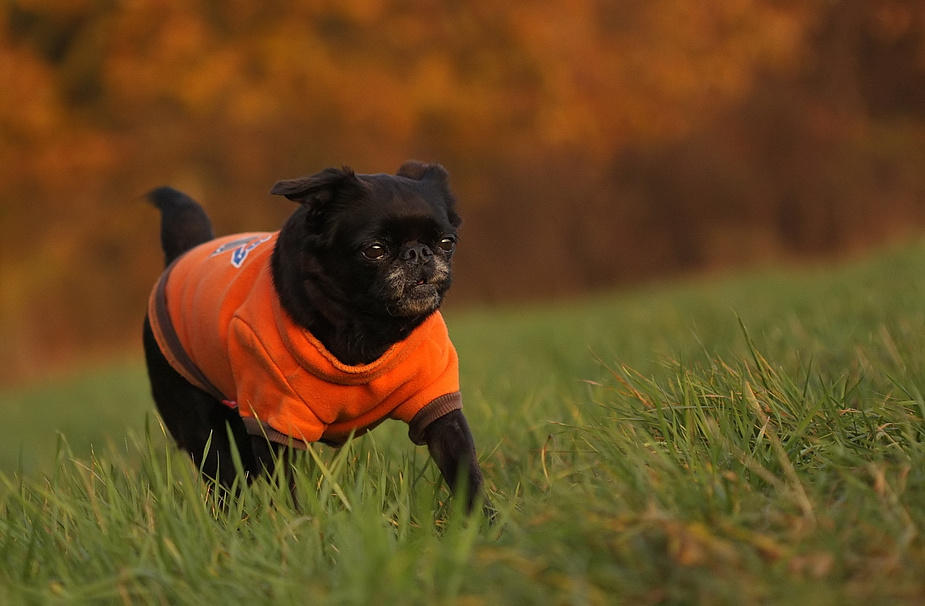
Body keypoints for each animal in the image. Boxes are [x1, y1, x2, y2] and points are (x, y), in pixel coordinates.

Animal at [141, 164, 488, 516]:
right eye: (374, 250)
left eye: (447, 242)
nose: (418, 252)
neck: (365, 328)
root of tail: (183, 255)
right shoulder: (275, 423)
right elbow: (286, 490)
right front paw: (298, 525)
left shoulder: (438, 406)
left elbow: (464, 470)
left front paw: (480, 522)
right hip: (203, 429)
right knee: (225, 479)